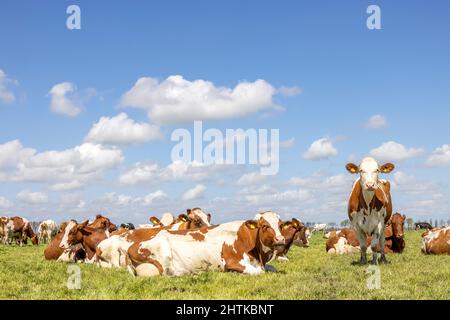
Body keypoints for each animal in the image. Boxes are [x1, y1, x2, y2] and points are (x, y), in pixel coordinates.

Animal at [125, 211, 284, 276]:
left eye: (281, 225)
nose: (280, 239)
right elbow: (259, 272)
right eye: (264, 225)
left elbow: (272, 269)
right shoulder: (232, 262)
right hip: (163, 252)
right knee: (168, 272)